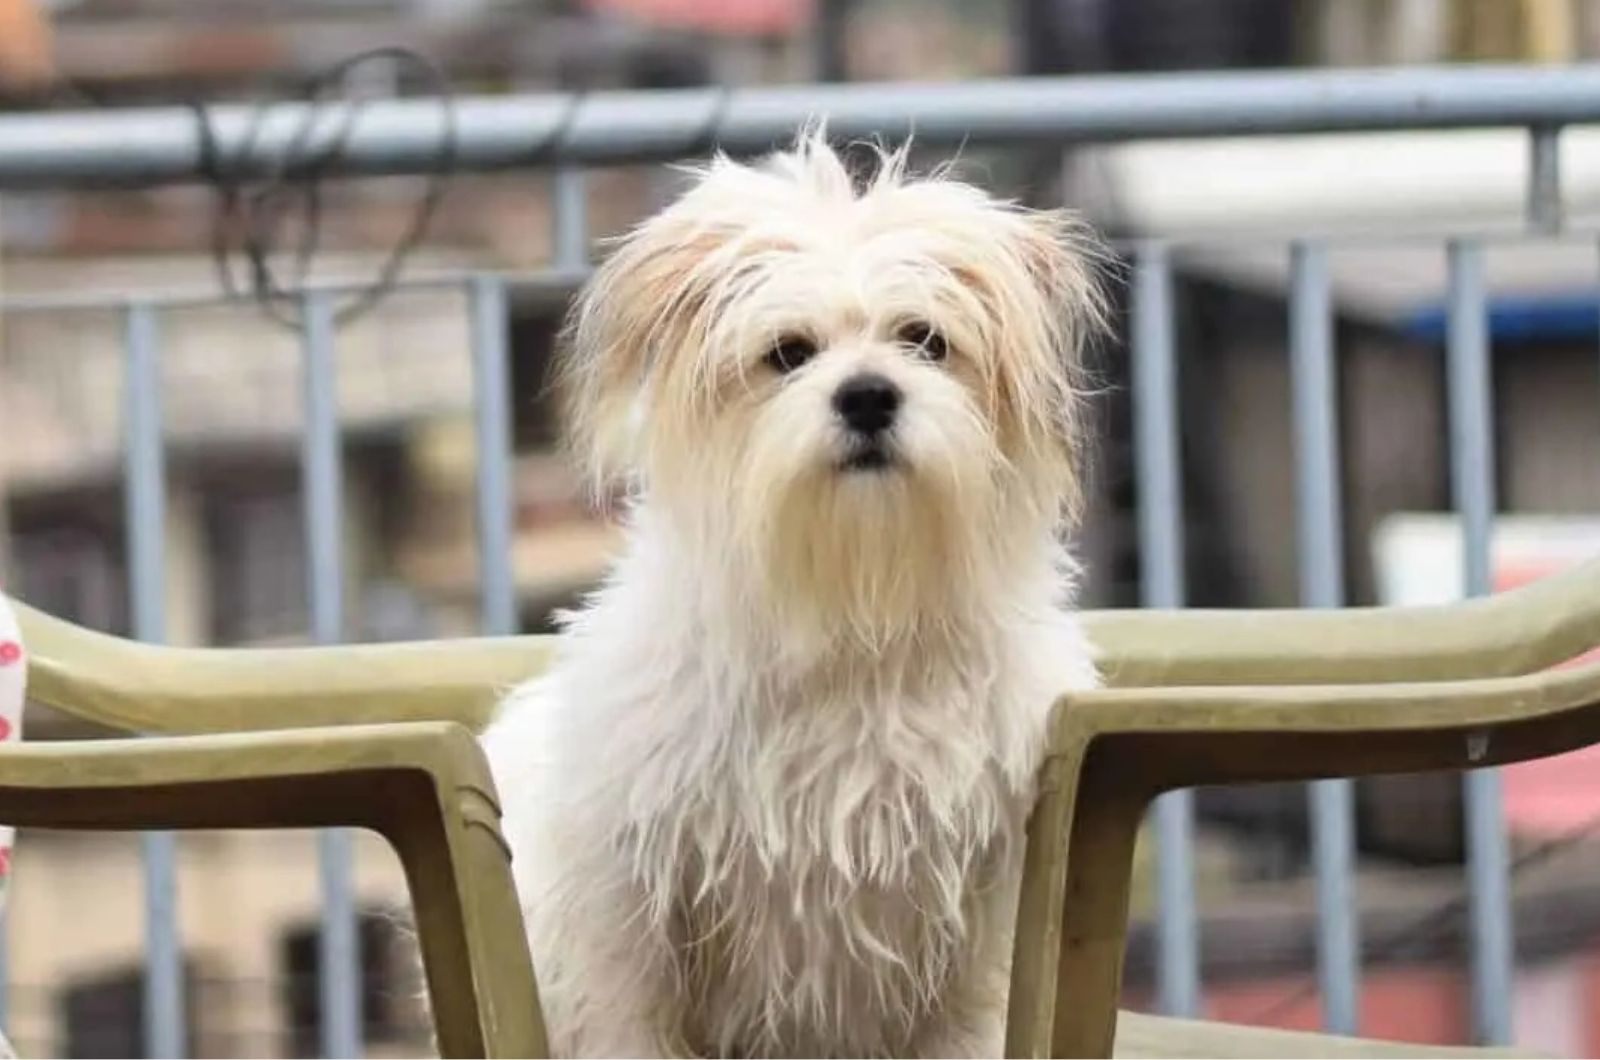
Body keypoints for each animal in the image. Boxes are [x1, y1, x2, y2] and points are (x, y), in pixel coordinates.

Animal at [486, 135, 1107, 1060]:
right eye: (788, 353)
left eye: (925, 340)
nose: (868, 395)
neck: (850, 608)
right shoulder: (628, 893)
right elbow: (629, 1012)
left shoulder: (982, 915)